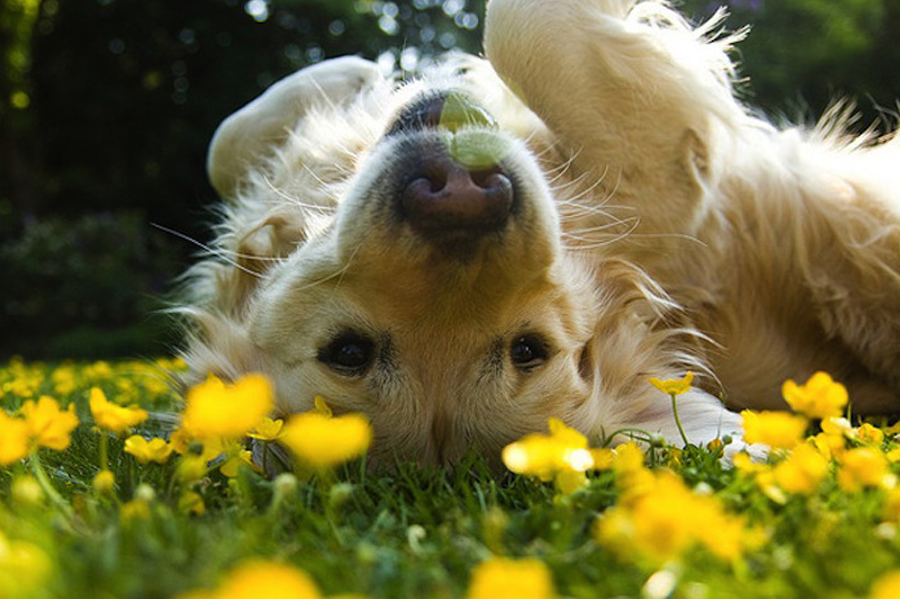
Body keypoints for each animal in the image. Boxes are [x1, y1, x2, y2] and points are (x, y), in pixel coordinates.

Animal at [176, 0, 900, 468]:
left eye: (528, 350)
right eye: (348, 350)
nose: (461, 197)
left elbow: (220, 143)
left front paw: (348, 72)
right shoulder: (671, 182)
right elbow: (522, 27)